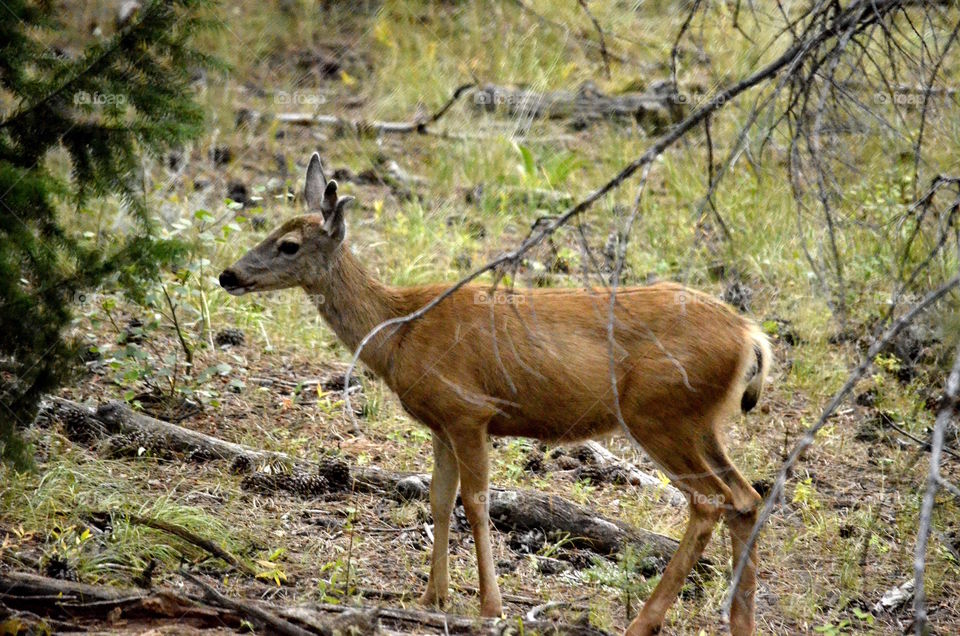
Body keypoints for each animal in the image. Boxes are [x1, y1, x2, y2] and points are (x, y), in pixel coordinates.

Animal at [219, 153, 772, 636]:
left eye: (289, 245)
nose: (228, 274)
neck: (398, 332)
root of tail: (751, 336)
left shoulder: (469, 411)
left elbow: (477, 501)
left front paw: (490, 606)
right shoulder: (441, 423)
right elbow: (440, 498)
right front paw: (432, 598)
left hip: (658, 413)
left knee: (710, 501)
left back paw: (643, 623)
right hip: (700, 422)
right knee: (747, 498)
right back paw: (739, 623)